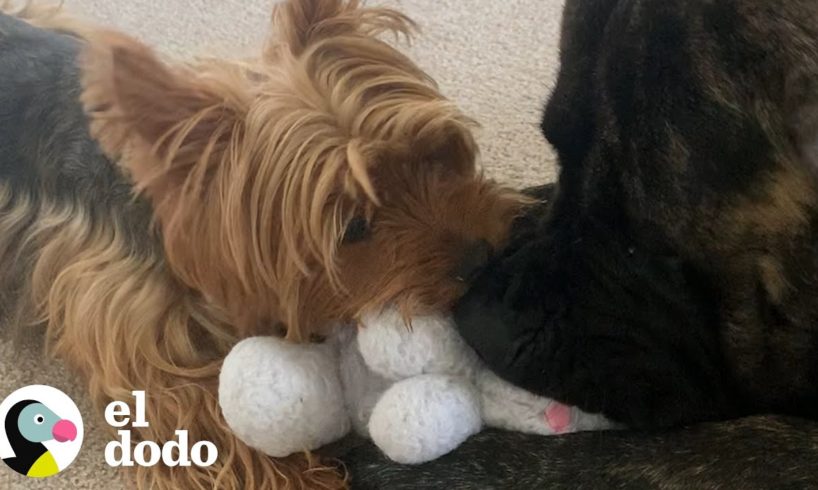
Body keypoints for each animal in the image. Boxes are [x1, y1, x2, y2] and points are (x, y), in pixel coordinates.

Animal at [0, 1, 524, 488]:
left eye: (434, 154)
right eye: (354, 227)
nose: (481, 259)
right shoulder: (145, 349)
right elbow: (205, 421)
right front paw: (313, 478)